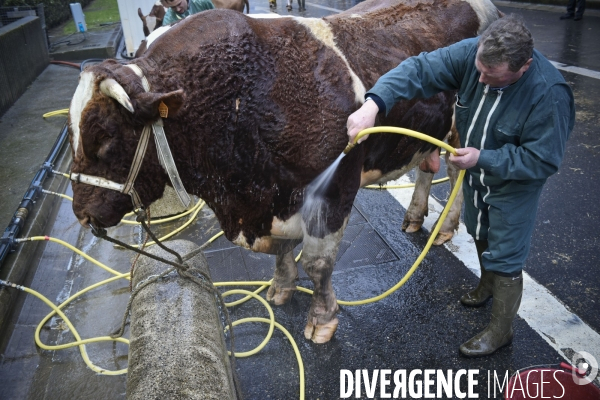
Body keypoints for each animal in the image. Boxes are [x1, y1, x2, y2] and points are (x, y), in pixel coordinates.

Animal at [65, 0, 500, 344]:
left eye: (105, 140)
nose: (81, 214)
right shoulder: (271, 199)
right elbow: (281, 250)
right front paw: (279, 287)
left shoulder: (333, 191)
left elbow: (317, 264)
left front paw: (321, 321)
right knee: (428, 167)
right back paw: (414, 215)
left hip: (462, 129)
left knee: (456, 171)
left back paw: (446, 226)